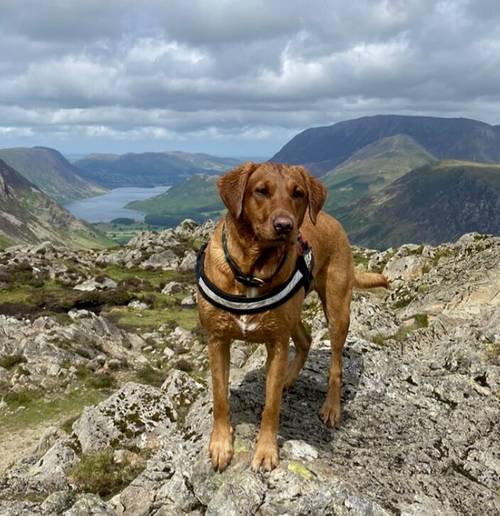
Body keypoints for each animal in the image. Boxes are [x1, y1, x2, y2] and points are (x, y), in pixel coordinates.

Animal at [195, 161, 386, 472]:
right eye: (261, 191)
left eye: (298, 193)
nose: (285, 226)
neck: (252, 270)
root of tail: (333, 221)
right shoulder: (217, 340)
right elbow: (220, 397)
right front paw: (221, 444)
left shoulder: (276, 343)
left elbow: (271, 405)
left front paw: (266, 451)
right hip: (294, 315)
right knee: (306, 340)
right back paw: (288, 378)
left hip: (337, 310)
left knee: (335, 365)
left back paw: (331, 407)